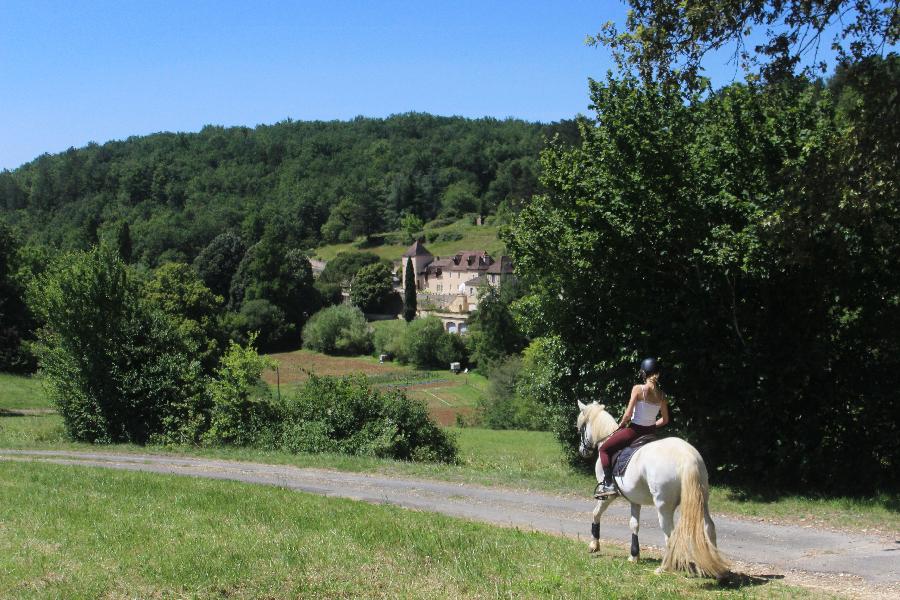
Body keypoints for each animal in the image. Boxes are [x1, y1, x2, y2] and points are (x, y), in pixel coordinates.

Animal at [576, 400, 732, 580]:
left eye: (581, 428)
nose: (582, 451)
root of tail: (686, 456)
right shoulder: (634, 500)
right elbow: (634, 525)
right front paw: (634, 555)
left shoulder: (607, 496)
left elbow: (596, 513)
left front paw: (594, 545)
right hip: (703, 501)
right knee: (709, 527)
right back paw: (717, 570)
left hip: (663, 507)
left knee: (670, 535)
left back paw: (664, 568)